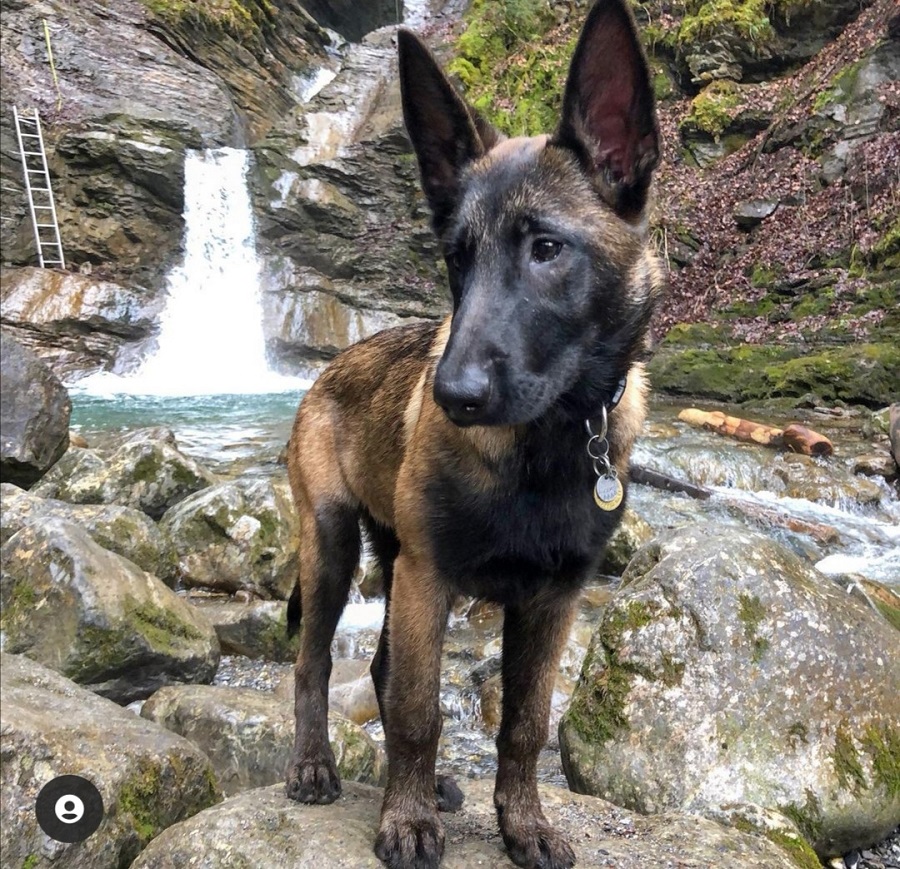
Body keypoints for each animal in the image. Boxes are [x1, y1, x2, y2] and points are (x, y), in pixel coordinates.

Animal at [284, 3, 664, 864]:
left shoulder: (552, 599)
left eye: (547, 249)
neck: (547, 443)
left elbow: (524, 723)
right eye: (456, 257)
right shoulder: (431, 575)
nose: (450, 393)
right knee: (315, 663)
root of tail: (330, 367)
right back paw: (317, 766)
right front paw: (407, 820)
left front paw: (522, 822)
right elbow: (419, 712)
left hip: (394, 564)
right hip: (333, 547)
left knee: (379, 663)